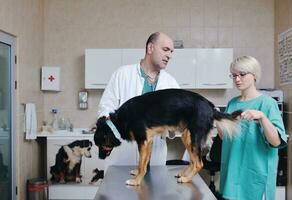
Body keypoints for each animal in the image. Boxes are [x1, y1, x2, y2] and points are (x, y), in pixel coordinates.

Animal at [93, 89, 242, 186]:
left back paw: (186, 179)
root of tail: (212, 108)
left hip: (193, 137)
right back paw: (184, 174)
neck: (118, 121)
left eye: (100, 145)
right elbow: (143, 162)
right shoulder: (148, 141)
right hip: (187, 136)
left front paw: (136, 181)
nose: (99, 158)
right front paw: (138, 173)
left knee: (199, 163)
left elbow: (142, 163)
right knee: (193, 161)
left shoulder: (143, 141)